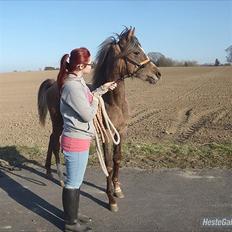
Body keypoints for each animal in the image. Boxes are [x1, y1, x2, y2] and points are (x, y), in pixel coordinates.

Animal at [37, 26, 161, 211]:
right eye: (136, 52)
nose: (157, 74)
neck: (113, 102)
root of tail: (53, 84)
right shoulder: (108, 136)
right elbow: (108, 164)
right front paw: (111, 199)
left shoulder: (121, 132)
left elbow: (117, 159)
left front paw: (117, 189)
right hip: (58, 123)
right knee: (54, 142)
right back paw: (59, 177)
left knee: (51, 140)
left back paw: (48, 171)